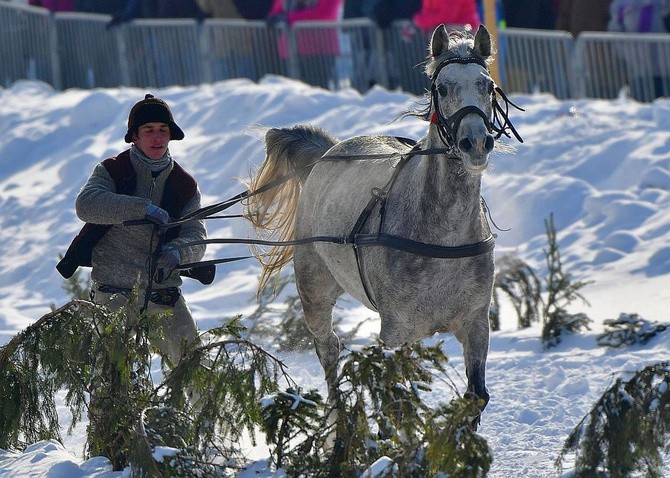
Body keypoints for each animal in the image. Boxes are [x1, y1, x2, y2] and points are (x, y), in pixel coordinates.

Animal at [249, 23, 516, 426]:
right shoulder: (396, 331)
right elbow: (396, 400)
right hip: (314, 288)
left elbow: (476, 396)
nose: (475, 143)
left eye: (486, 85)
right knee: (328, 349)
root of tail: (328, 152)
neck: (443, 237)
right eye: (442, 88)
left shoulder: (475, 324)